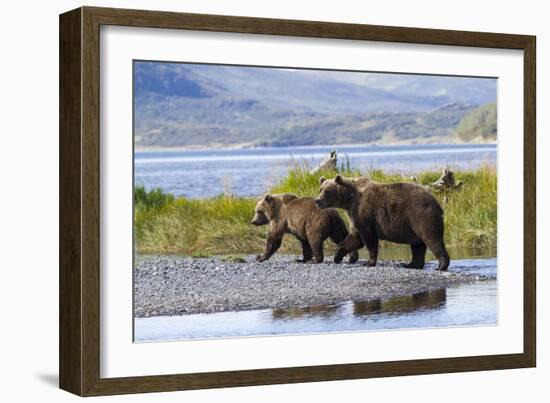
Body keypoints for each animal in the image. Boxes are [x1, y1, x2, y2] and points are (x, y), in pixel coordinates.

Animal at [316, 174, 450, 272]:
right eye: (320, 189)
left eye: (327, 191)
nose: (317, 200)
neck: (349, 200)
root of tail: (437, 203)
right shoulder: (354, 215)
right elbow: (355, 238)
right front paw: (337, 255)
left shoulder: (365, 212)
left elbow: (369, 238)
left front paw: (369, 262)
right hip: (413, 224)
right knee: (417, 245)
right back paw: (411, 264)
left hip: (421, 215)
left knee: (432, 239)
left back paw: (441, 266)